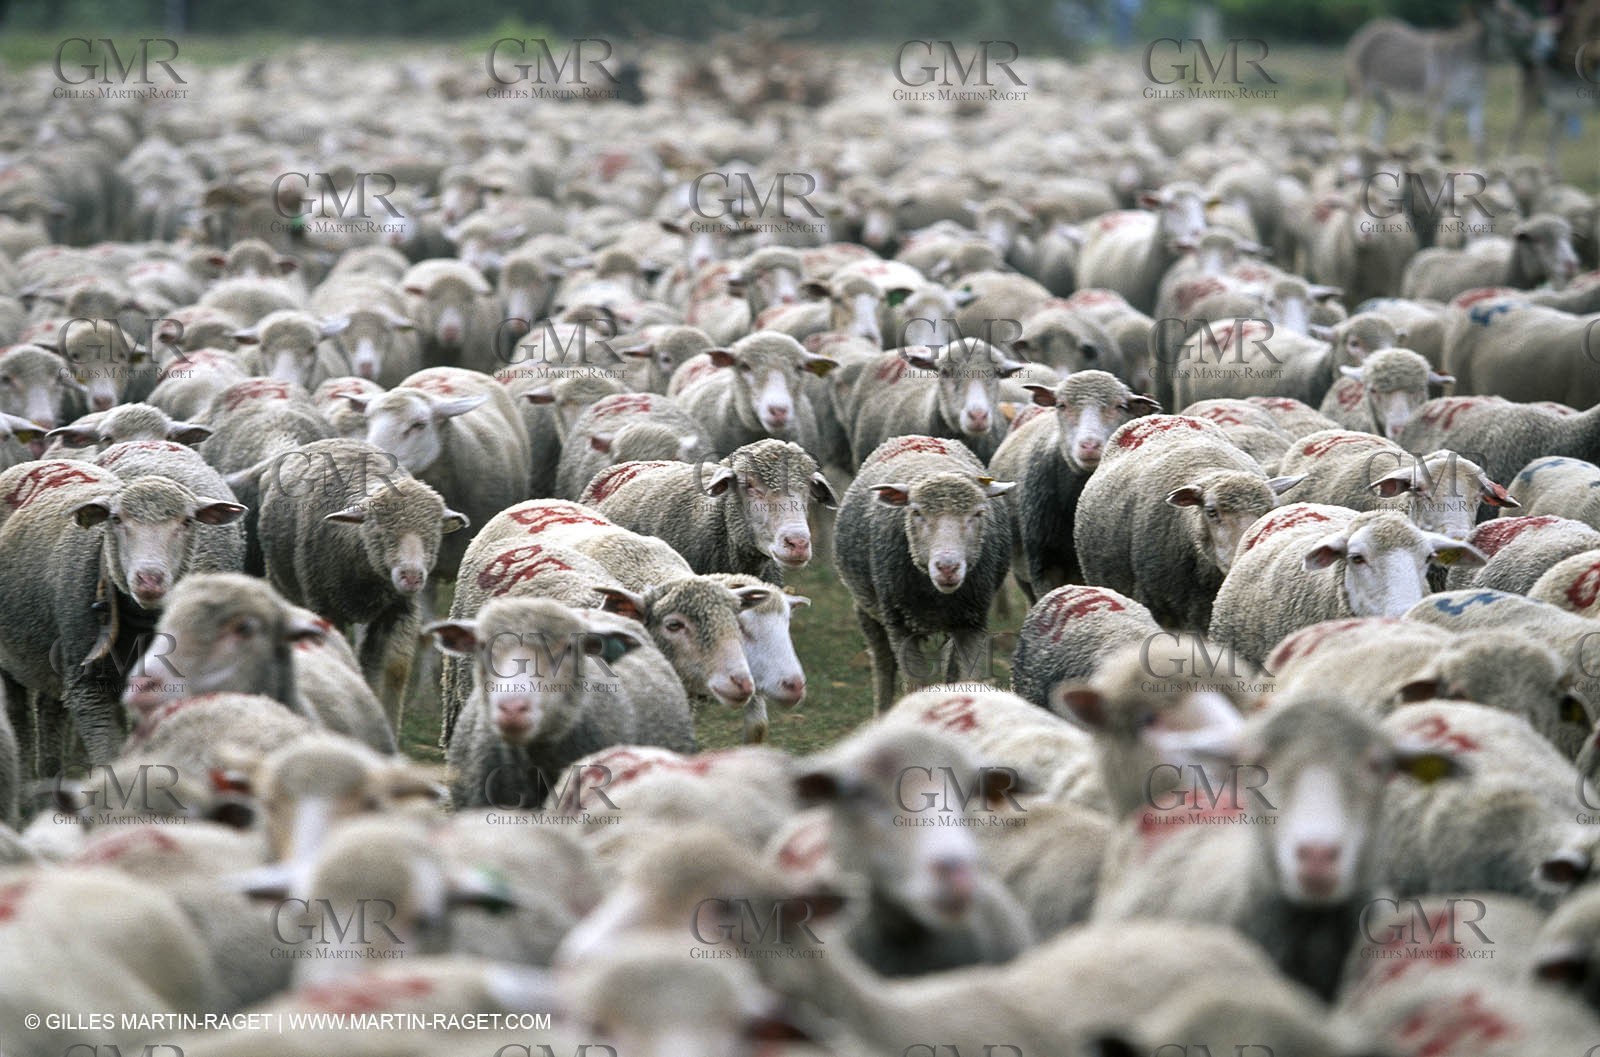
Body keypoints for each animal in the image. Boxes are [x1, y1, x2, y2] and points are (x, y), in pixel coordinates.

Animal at [0, 459, 246, 768]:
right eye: (116, 519)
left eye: (187, 521)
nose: (149, 578)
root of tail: (35, 463)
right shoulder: (89, 687)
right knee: (18, 715)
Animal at [256, 438, 469, 717]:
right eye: (378, 529)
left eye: (434, 533)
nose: (411, 577)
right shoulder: (324, 606)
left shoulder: (399, 610)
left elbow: (394, 670)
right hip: (283, 583)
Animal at [833, 435, 1015, 712]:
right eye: (916, 512)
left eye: (978, 513)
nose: (948, 567)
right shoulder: (900, 624)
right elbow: (914, 685)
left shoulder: (973, 622)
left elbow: (969, 678)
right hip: (867, 609)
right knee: (883, 666)